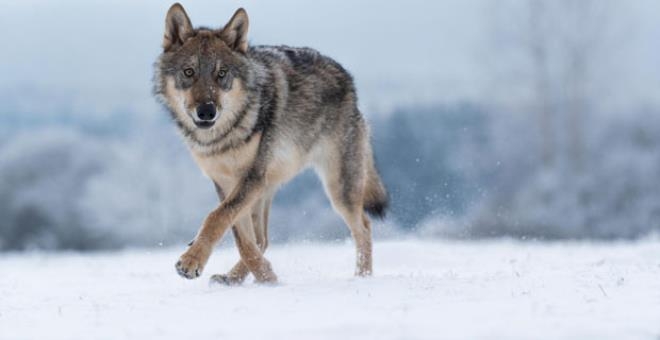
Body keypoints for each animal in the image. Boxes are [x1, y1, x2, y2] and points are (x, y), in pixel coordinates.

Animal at [153, 3, 390, 284]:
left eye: (221, 74)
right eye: (189, 72)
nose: (207, 112)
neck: (224, 137)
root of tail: (348, 79)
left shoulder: (251, 177)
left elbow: (217, 217)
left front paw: (191, 262)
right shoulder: (226, 182)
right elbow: (240, 236)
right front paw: (266, 277)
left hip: (338, 188)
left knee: (363, 227)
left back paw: (362, 277)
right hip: (268, 189)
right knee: (262, 239)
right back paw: (233, 278)